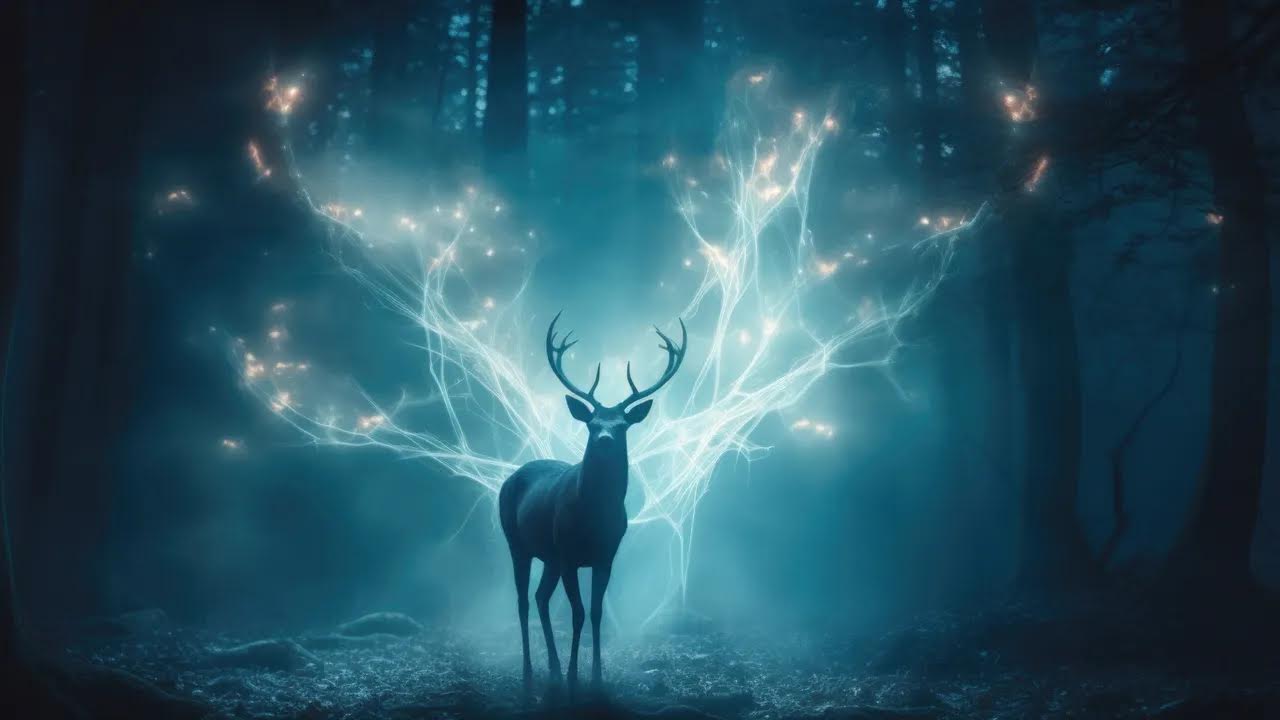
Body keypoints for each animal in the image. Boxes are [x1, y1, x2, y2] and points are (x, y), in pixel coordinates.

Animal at [499, 312, 687, 698]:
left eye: (623, 425)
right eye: (592, 423)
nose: (603, 439)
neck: (594, 516)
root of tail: (510, 478)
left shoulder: (605, 556)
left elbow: (597, 612)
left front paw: (597, 677)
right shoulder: (570, 554)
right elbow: (578, 613)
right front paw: (575, 678)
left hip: (550, 556)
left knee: (540, 597)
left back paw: (553, 670)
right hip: (517, 543)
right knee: (523, 601)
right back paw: (530, 673)